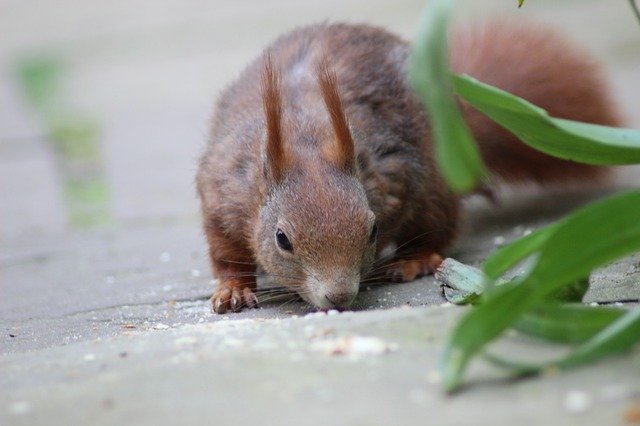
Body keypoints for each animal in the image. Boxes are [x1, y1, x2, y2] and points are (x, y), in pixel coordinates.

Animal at [198, 20, 624, 312]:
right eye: (282, 239)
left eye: (372, 230)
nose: (339, 296)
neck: (305, 135)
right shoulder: (222, 193)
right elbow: (225, 251)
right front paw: (234, 288)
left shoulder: (396, 174)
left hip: (435, 183)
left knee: (437, 226)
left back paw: (413, 260)